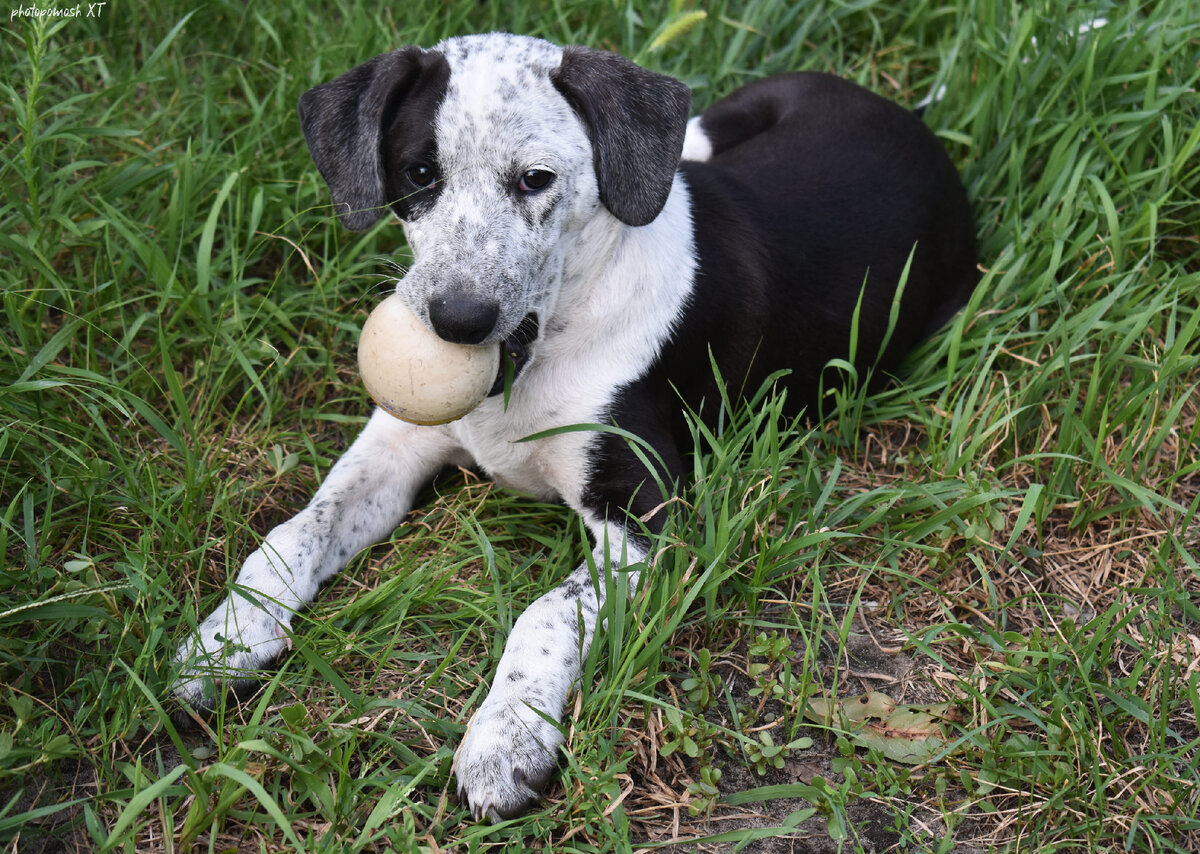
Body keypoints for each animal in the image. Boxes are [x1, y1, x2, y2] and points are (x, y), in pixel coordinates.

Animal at [177, 31, 979, 820]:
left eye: (536, 179)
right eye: (418, 172)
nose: (456, 321)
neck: (542, 349)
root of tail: (894, 110)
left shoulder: (647, 519)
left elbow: (544, 614)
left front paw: (505, 740)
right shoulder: (397, 441)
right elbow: (296, 530)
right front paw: (227, 639)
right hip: (700, 132)